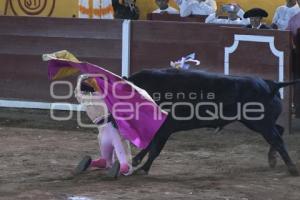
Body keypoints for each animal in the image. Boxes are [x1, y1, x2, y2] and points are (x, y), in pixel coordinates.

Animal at [127, 69, 300, 177]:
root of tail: (272, 84)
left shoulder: (166, 127)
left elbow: (155, 148)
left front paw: (142, 169)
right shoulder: (161, 128)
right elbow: (151, 144)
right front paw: (136, 161)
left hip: (260, 123)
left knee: (277, 139)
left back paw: (292, 168)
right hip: (259, 123)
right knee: (279, 131)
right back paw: (273, 159)